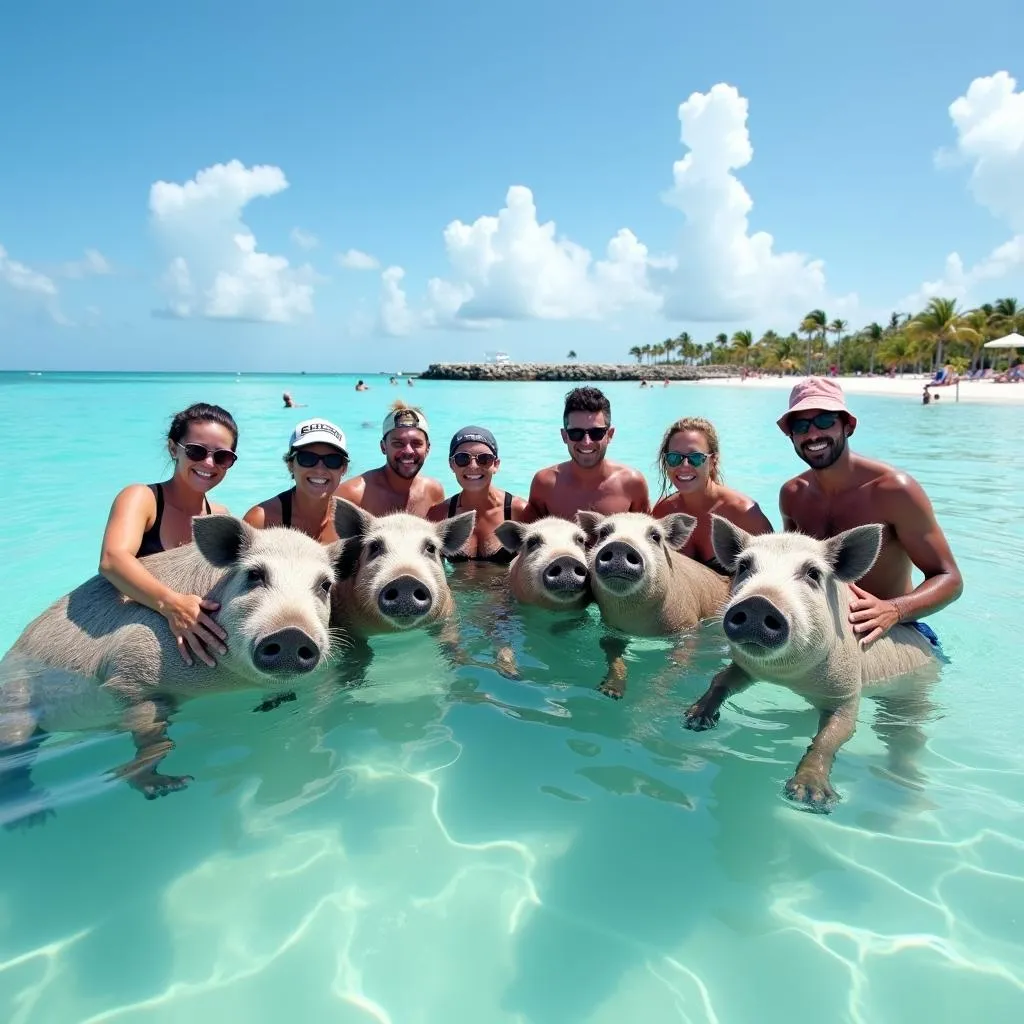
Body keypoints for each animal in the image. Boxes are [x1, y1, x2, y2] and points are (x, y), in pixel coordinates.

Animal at [0, 516, 344, 819]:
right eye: (255, 575)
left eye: (325, 585)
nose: (291, 633)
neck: (224, 681)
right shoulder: (128, 673)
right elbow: (152, 735)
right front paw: (172, 787)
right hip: (15, 700)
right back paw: (33, 817)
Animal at [573, 509, 733, 696]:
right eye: (604, 533)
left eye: (655, 536)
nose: (620, 545)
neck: (639, 623)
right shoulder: (611, 629)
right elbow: (612, 654)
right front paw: (610, 692)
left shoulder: (687, 627)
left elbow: (678, 663)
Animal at [684, 516, 937, 811]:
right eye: (744, 566)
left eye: (813, 573)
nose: (759, 602)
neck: (788, 676)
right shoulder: (746, 667)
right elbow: (720, 679)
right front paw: (694, 720)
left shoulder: (847, 689)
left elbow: (833, 735)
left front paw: (809, 798)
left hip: (913, 693)